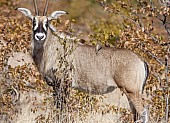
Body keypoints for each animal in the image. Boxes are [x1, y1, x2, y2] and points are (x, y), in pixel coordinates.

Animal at [16, 0, 149, 121]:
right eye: (33, 21)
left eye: (47, 22)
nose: (39, 36)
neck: (54, 48)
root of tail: (141, 60)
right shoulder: (55, 86)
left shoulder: (64, 84)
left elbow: (62, 109)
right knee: (136, 115)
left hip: (132, 91)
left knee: (143, 113)